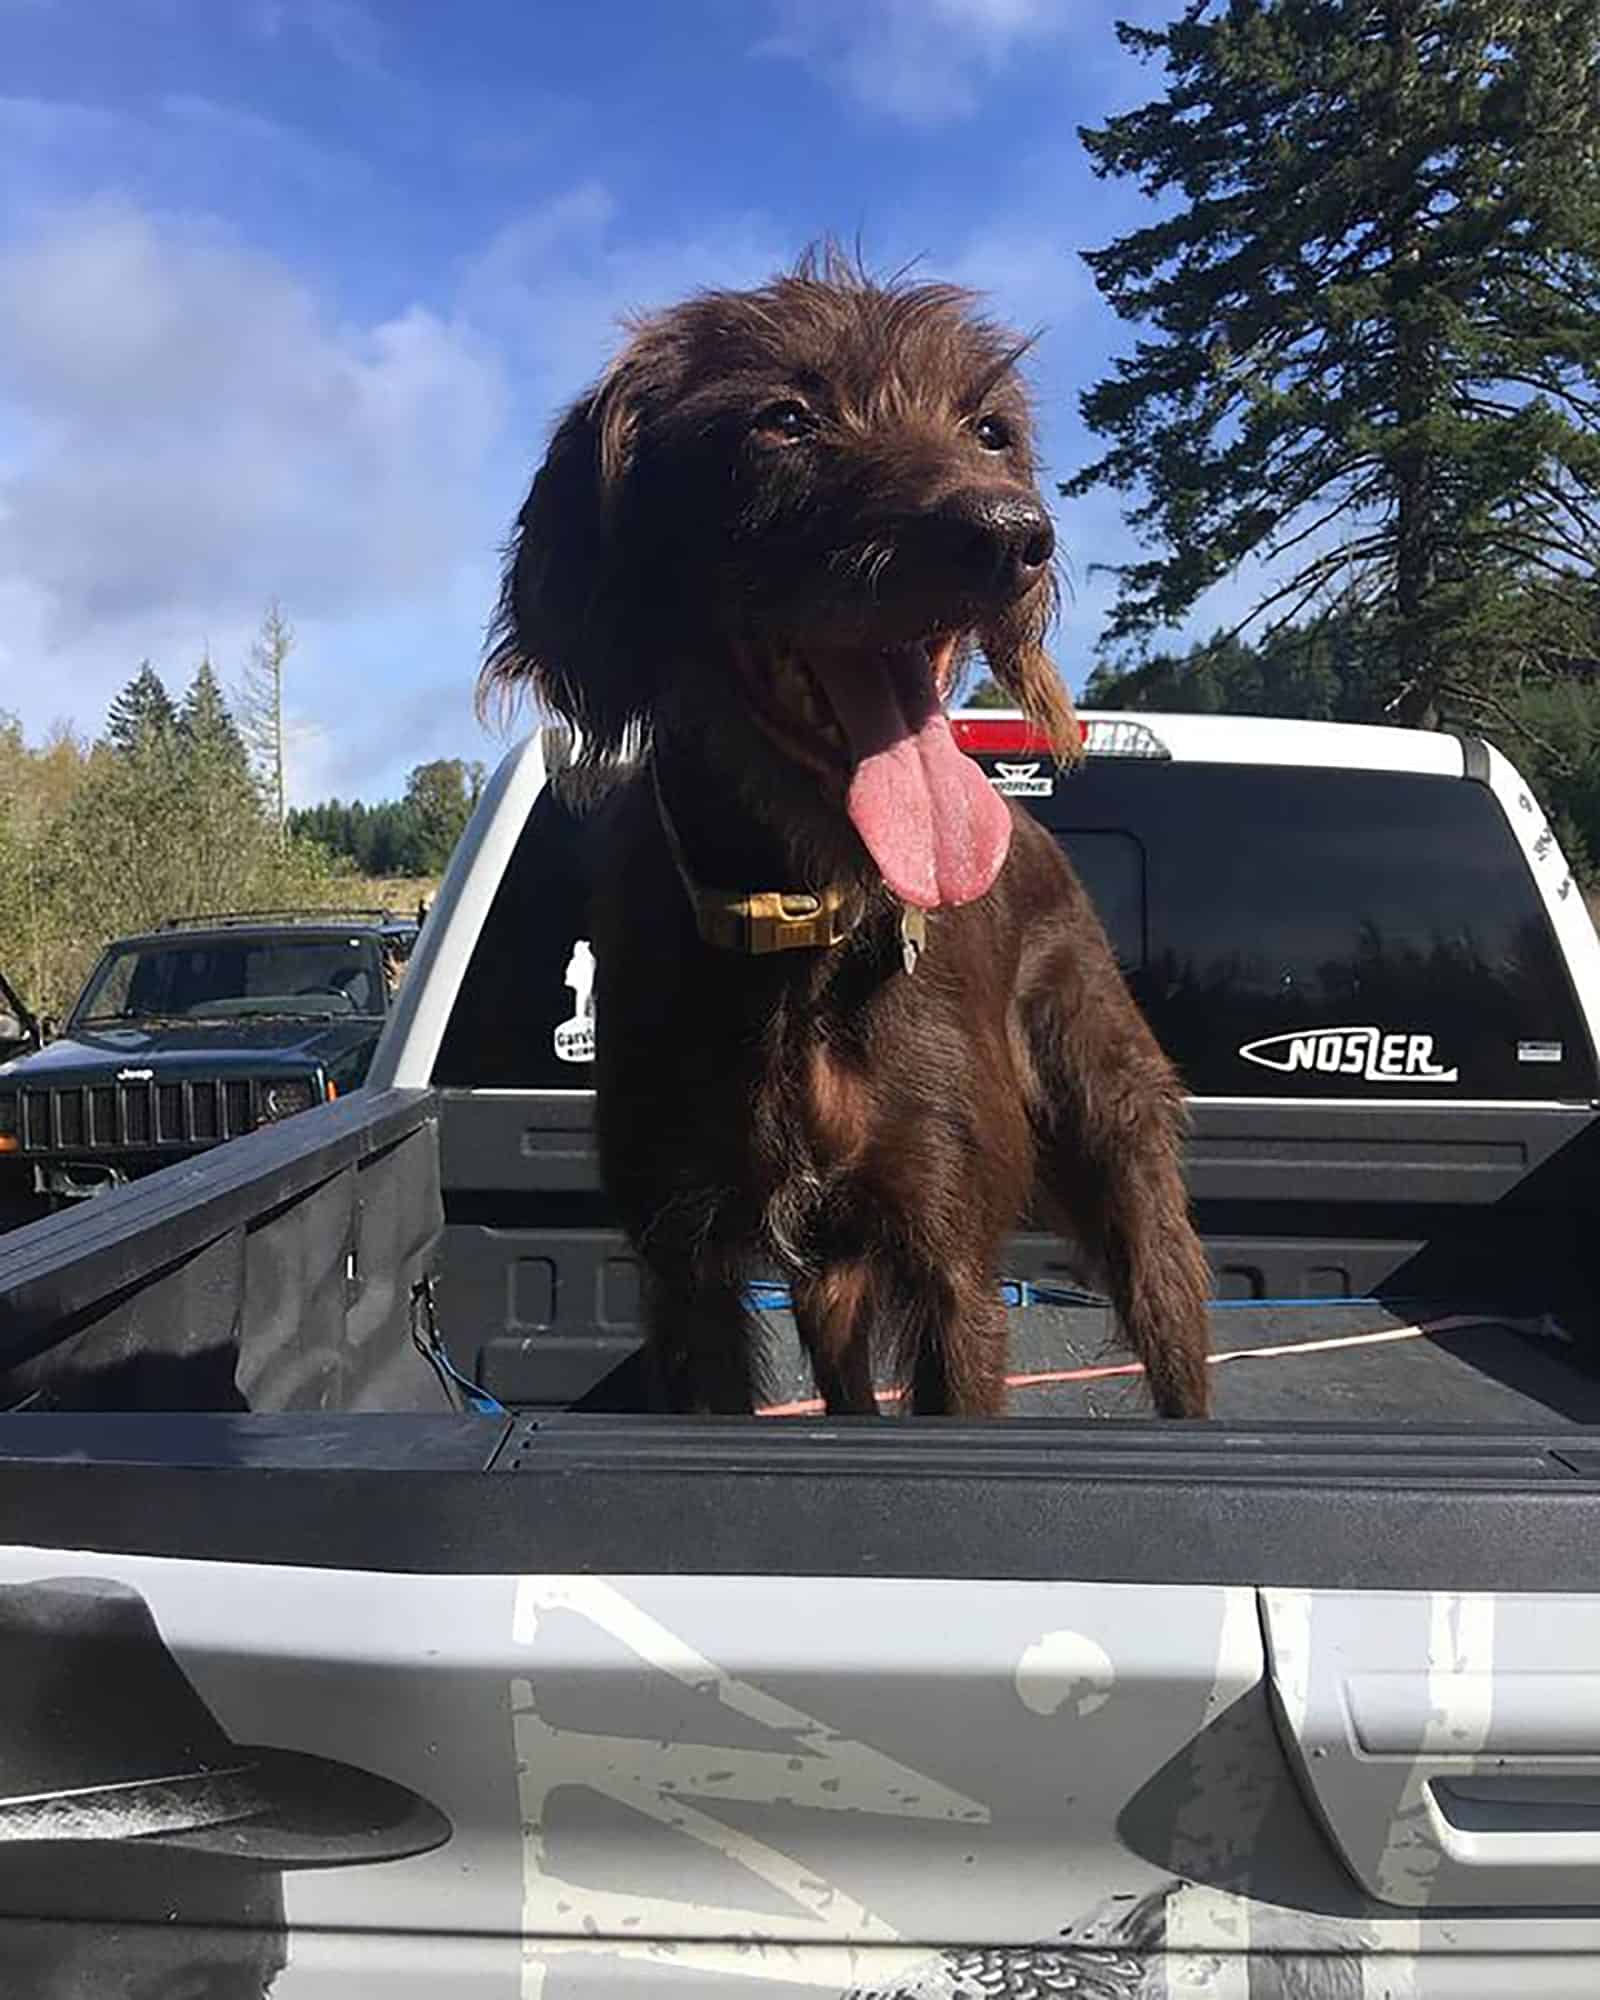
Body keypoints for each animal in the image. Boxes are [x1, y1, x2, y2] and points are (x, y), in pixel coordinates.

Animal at [482, 250, 1208, 1416]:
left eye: (989, 430)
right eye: (783, 419)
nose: (1009, 536)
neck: (800, 919)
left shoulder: (954, 1263)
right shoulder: (684, 1263)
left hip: (1124, 1160)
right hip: (830, 1274)